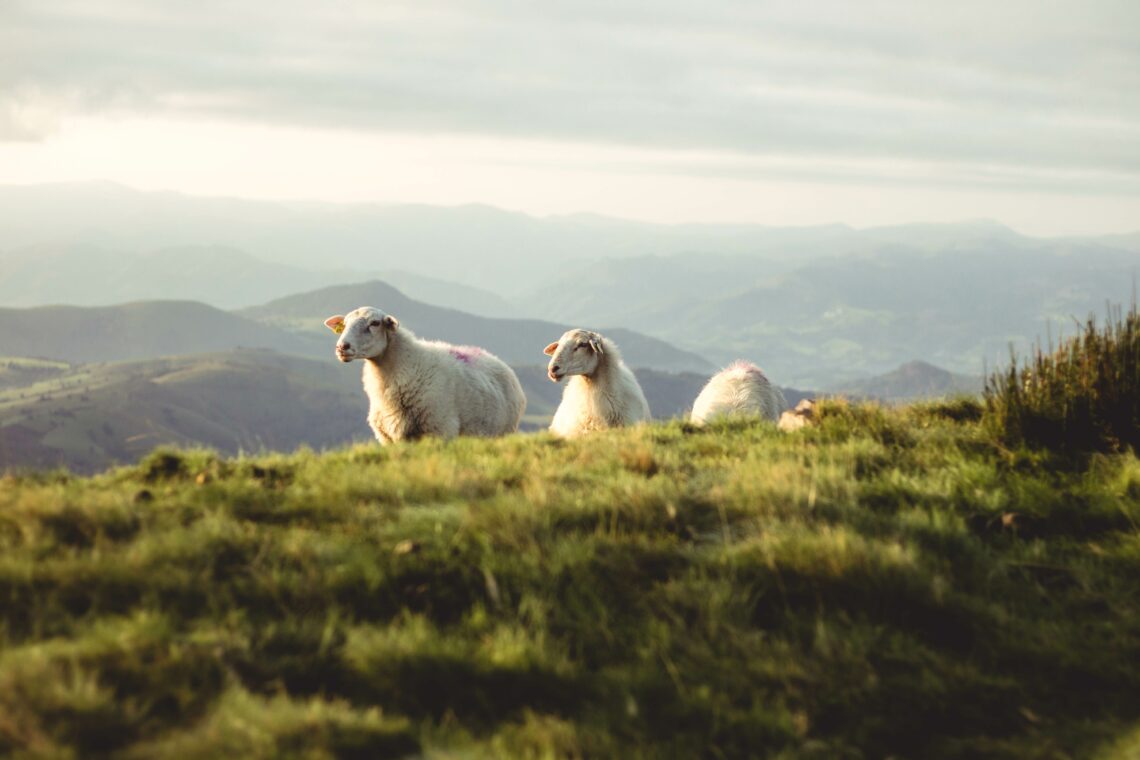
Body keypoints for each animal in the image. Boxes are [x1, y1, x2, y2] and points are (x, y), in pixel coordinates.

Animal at [326, 305, 524, 442]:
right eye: (344, 324)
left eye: (374, 323)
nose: (342, 347)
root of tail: (496, 359)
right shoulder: (389, 439)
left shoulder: (441, 429)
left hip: (503, 432)